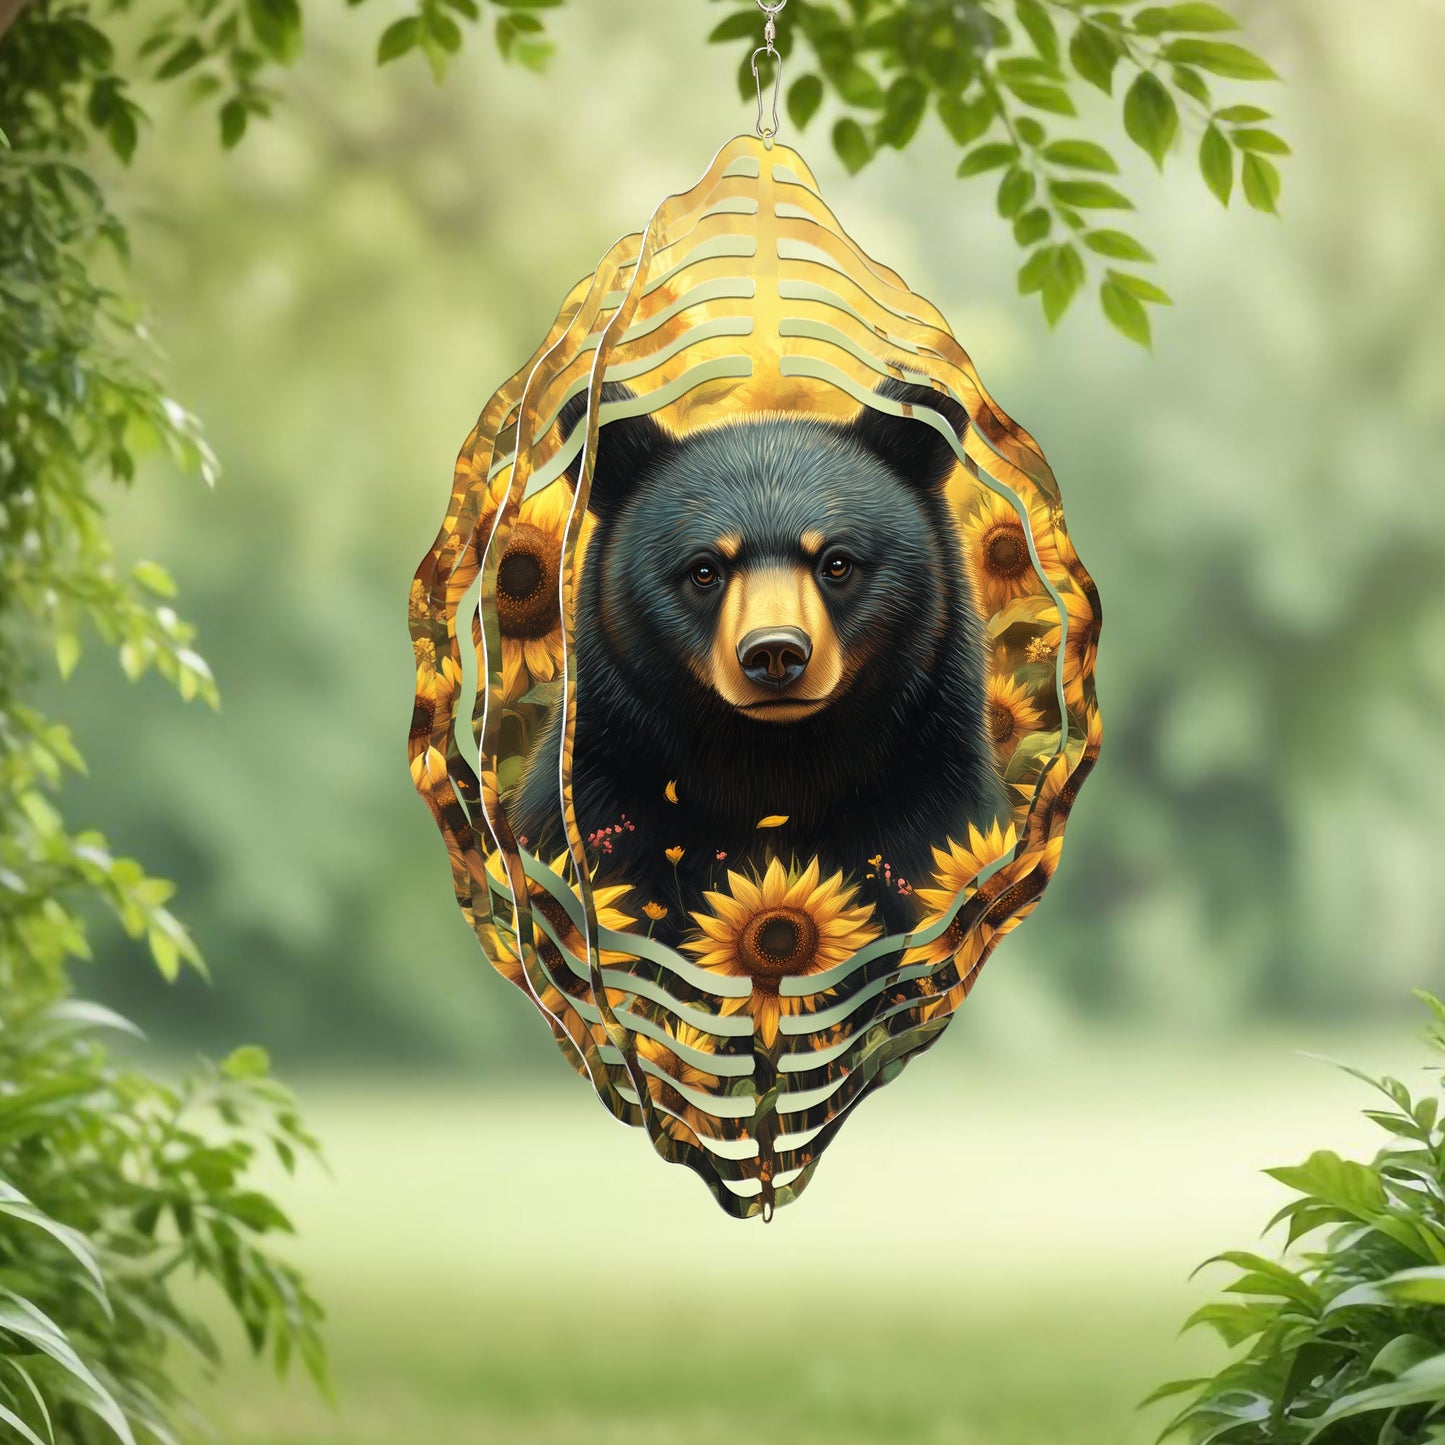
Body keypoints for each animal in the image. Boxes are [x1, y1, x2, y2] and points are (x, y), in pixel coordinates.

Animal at [511, 377, 1006, 946]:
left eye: (837, 562)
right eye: (704, 569)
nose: (774, 652)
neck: (772, 766)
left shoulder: (929, 793)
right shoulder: (603, 796)